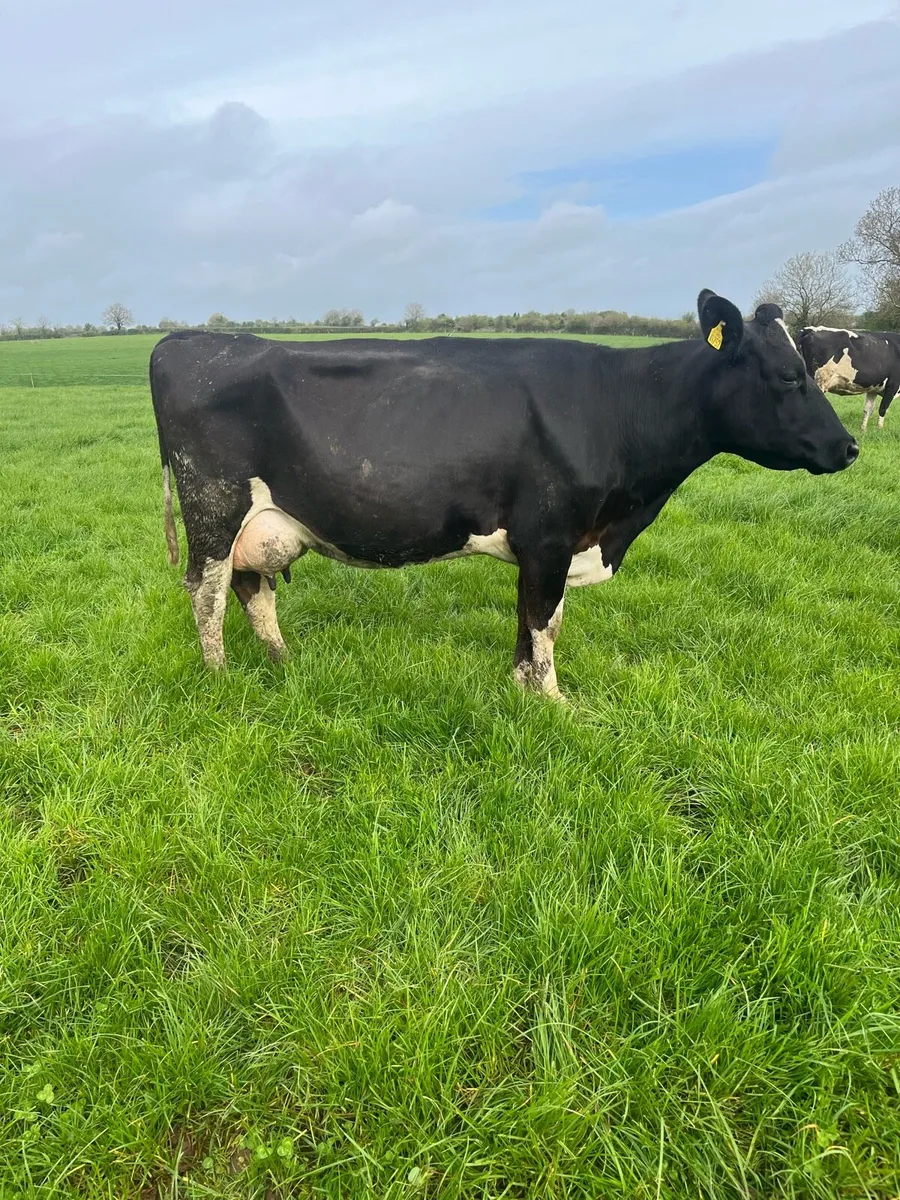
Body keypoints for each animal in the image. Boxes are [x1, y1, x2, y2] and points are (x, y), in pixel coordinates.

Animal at [150, 290, 857, 702]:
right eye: (788, 375)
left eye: (809, 368)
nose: (849, 447)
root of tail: (185, 340)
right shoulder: (549, 535)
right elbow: (543, 621)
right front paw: (553, 703)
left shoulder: (557, 542)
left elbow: (539, 620)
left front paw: (521, 690)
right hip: (213, 507)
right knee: (208, 591)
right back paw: (218, 678)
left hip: (260, 521)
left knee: (253, 588)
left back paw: (281, 662)